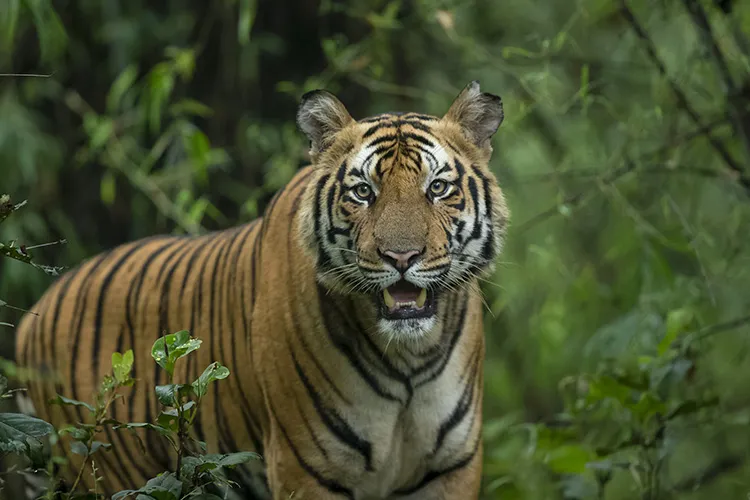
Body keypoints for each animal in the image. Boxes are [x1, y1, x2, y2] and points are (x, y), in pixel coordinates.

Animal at [16, 80, 512, 498]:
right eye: (363, 192)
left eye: (438, 187)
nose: (401, 257)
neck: (409, 356)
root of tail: (34, 314)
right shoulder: (306, 467)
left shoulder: (451, 467)